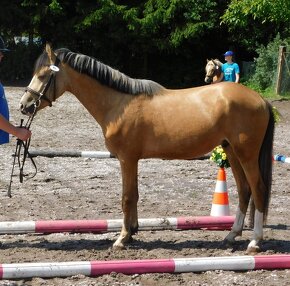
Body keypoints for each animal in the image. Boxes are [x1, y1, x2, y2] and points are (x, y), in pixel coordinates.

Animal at [19, 43, 274, 254]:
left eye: (42, 75)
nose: (24, 105)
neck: (119, 103)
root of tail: (261, 100)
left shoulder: (127, 159)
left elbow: (127, 197)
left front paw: (122, 239)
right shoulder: (132, 160)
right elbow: (135, 195)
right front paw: (132, 232)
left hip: (246, 155)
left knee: (258, 189)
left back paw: (254, 241)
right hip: (232, 151)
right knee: (244, 190)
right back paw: (232, 235)